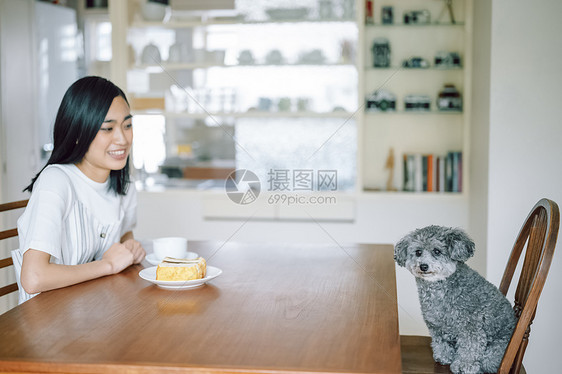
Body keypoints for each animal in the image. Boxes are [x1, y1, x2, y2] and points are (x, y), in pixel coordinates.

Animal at [394, 225, 512, 374]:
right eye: (418, 252)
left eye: (437, 251)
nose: (423, 266)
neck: (439, 289)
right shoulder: (436, 326)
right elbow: (440, 343)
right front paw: (444, 357)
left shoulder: (471, 327)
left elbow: (469, 348)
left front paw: (464, 365)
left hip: (495, 353)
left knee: (488, 362)